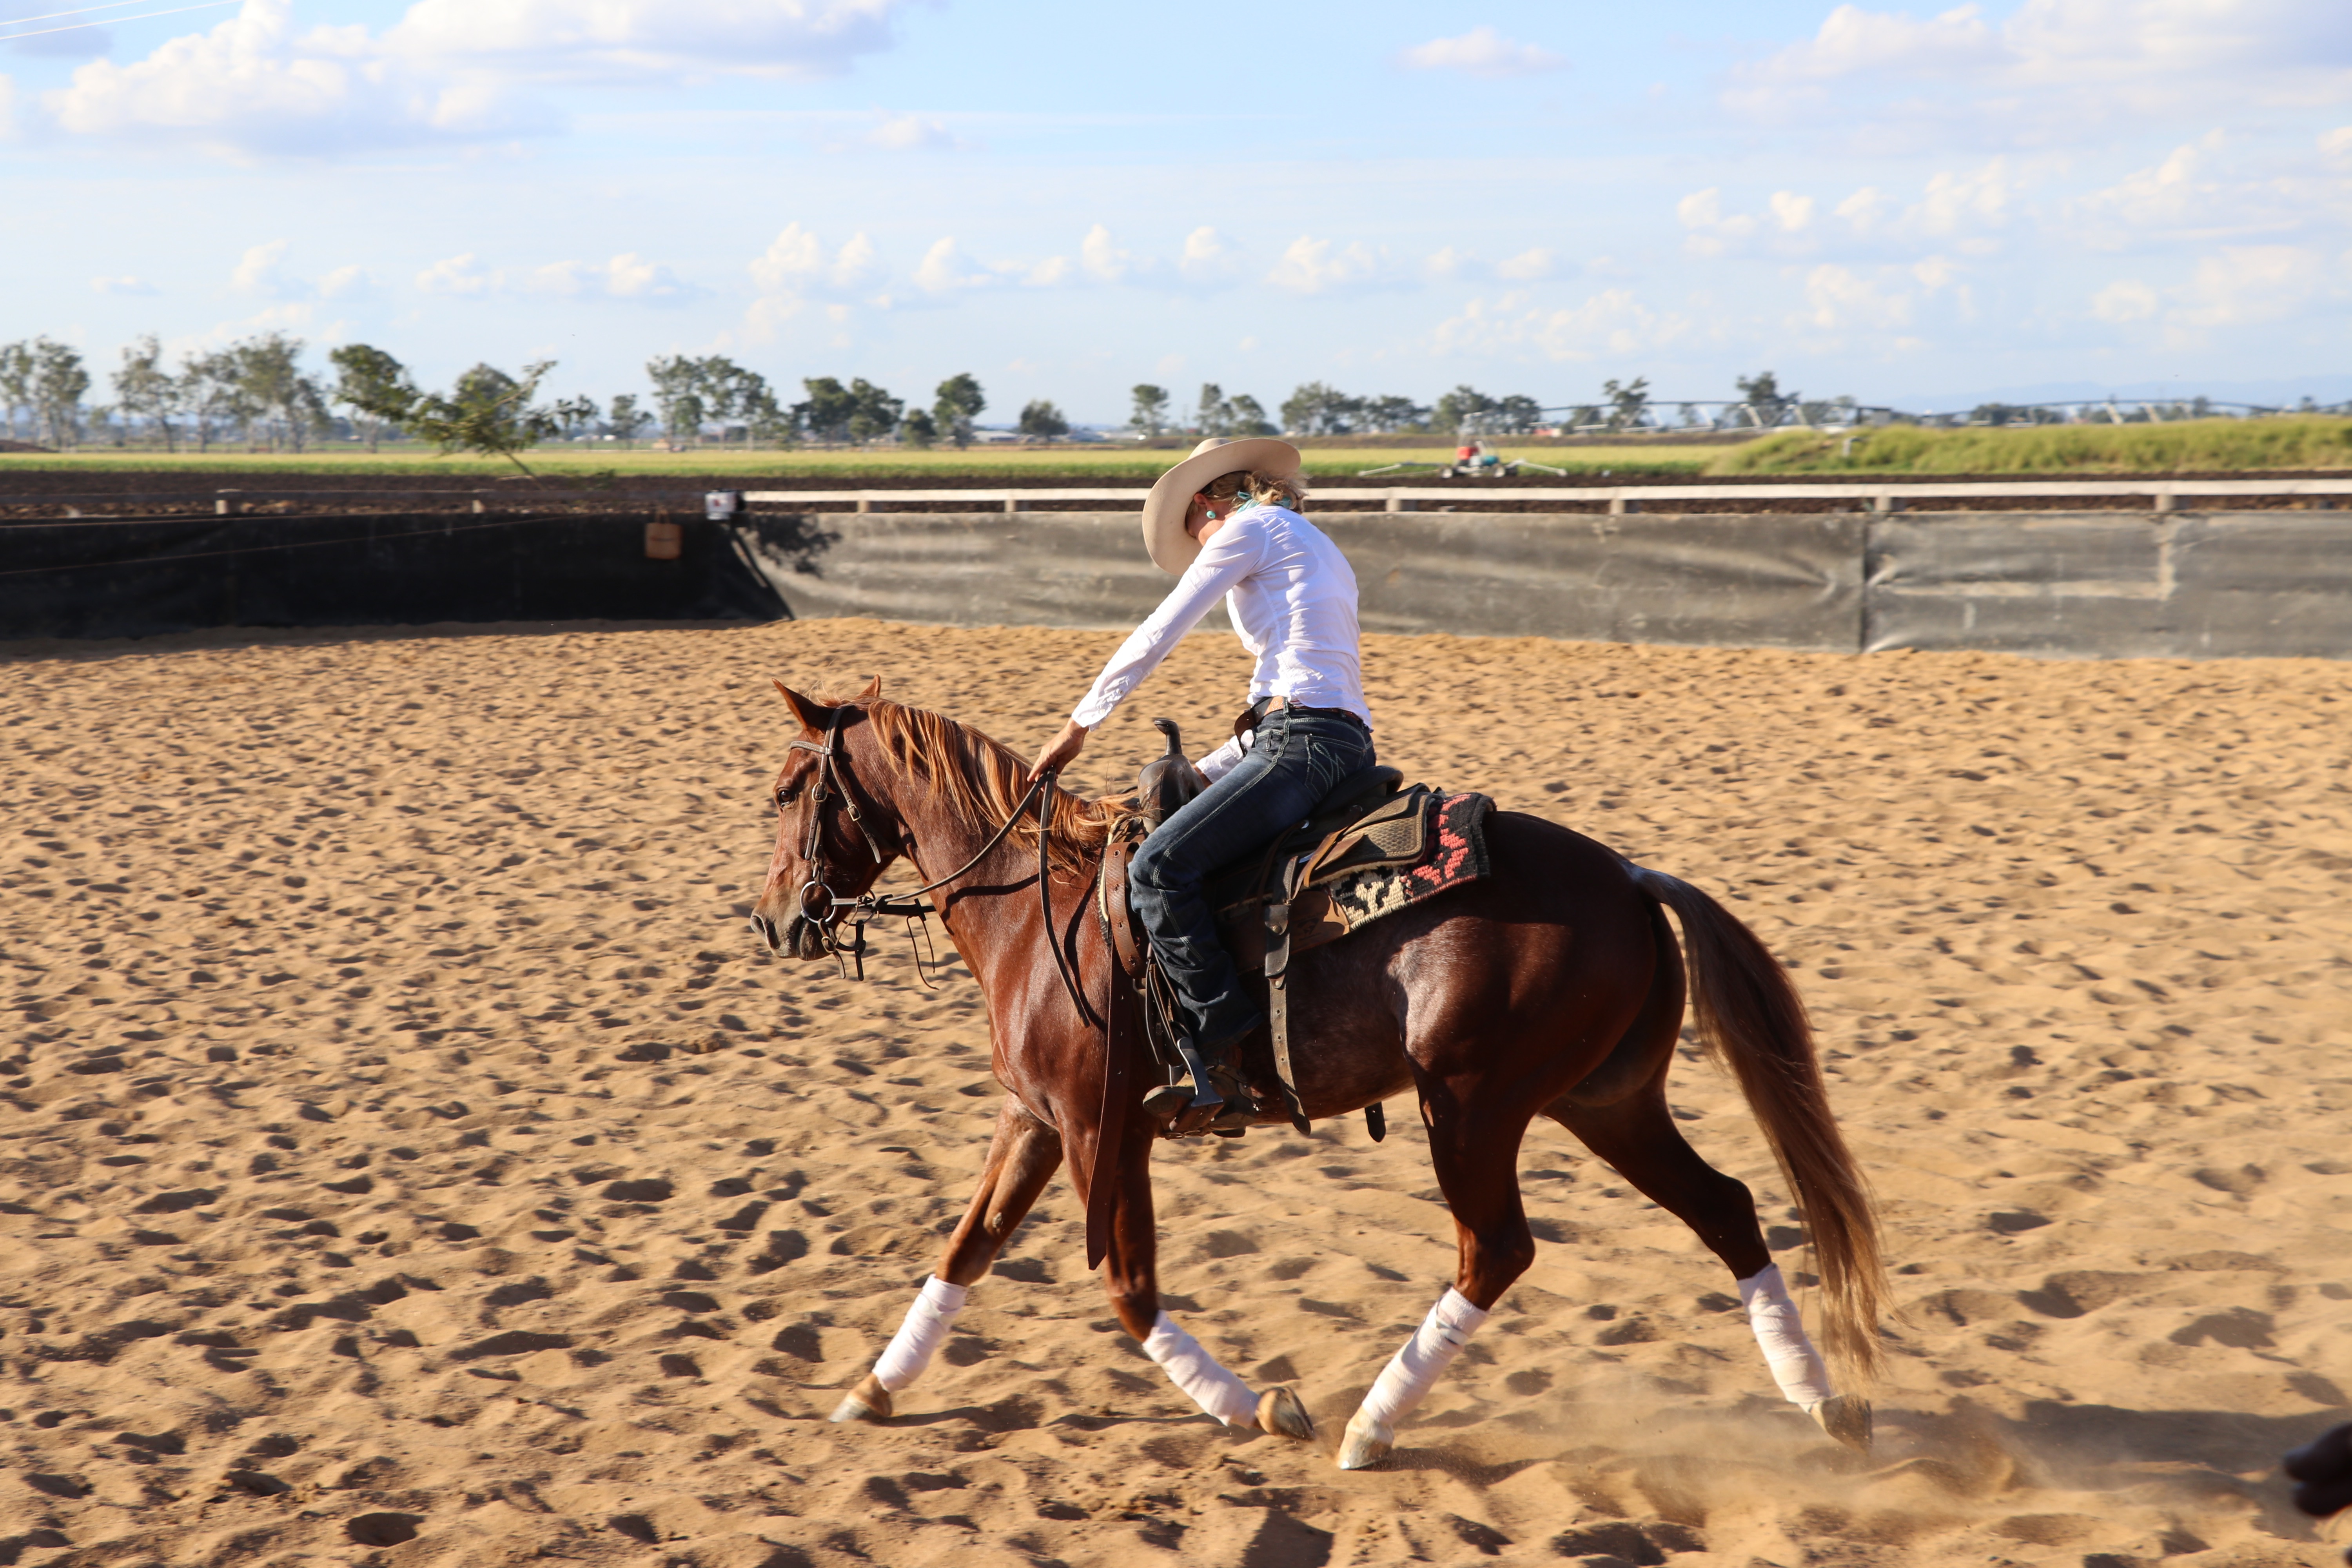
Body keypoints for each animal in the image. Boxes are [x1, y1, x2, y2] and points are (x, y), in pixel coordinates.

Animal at [747, 679, 1886, 1468]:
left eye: (791, 789)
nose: (774, 919)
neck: (1038, 907)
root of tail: (1629, 878)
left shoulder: (1100, 1129)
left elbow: (1127, 1288)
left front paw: (1259, 1405)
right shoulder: (1033, 1120)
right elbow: (966, 1250)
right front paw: (875, 1388)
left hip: (1471, 1104)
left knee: (1497, 1250)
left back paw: (1370, 1429)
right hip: (1603, 1100)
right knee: (1726, 1208)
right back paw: (1823, 1401)